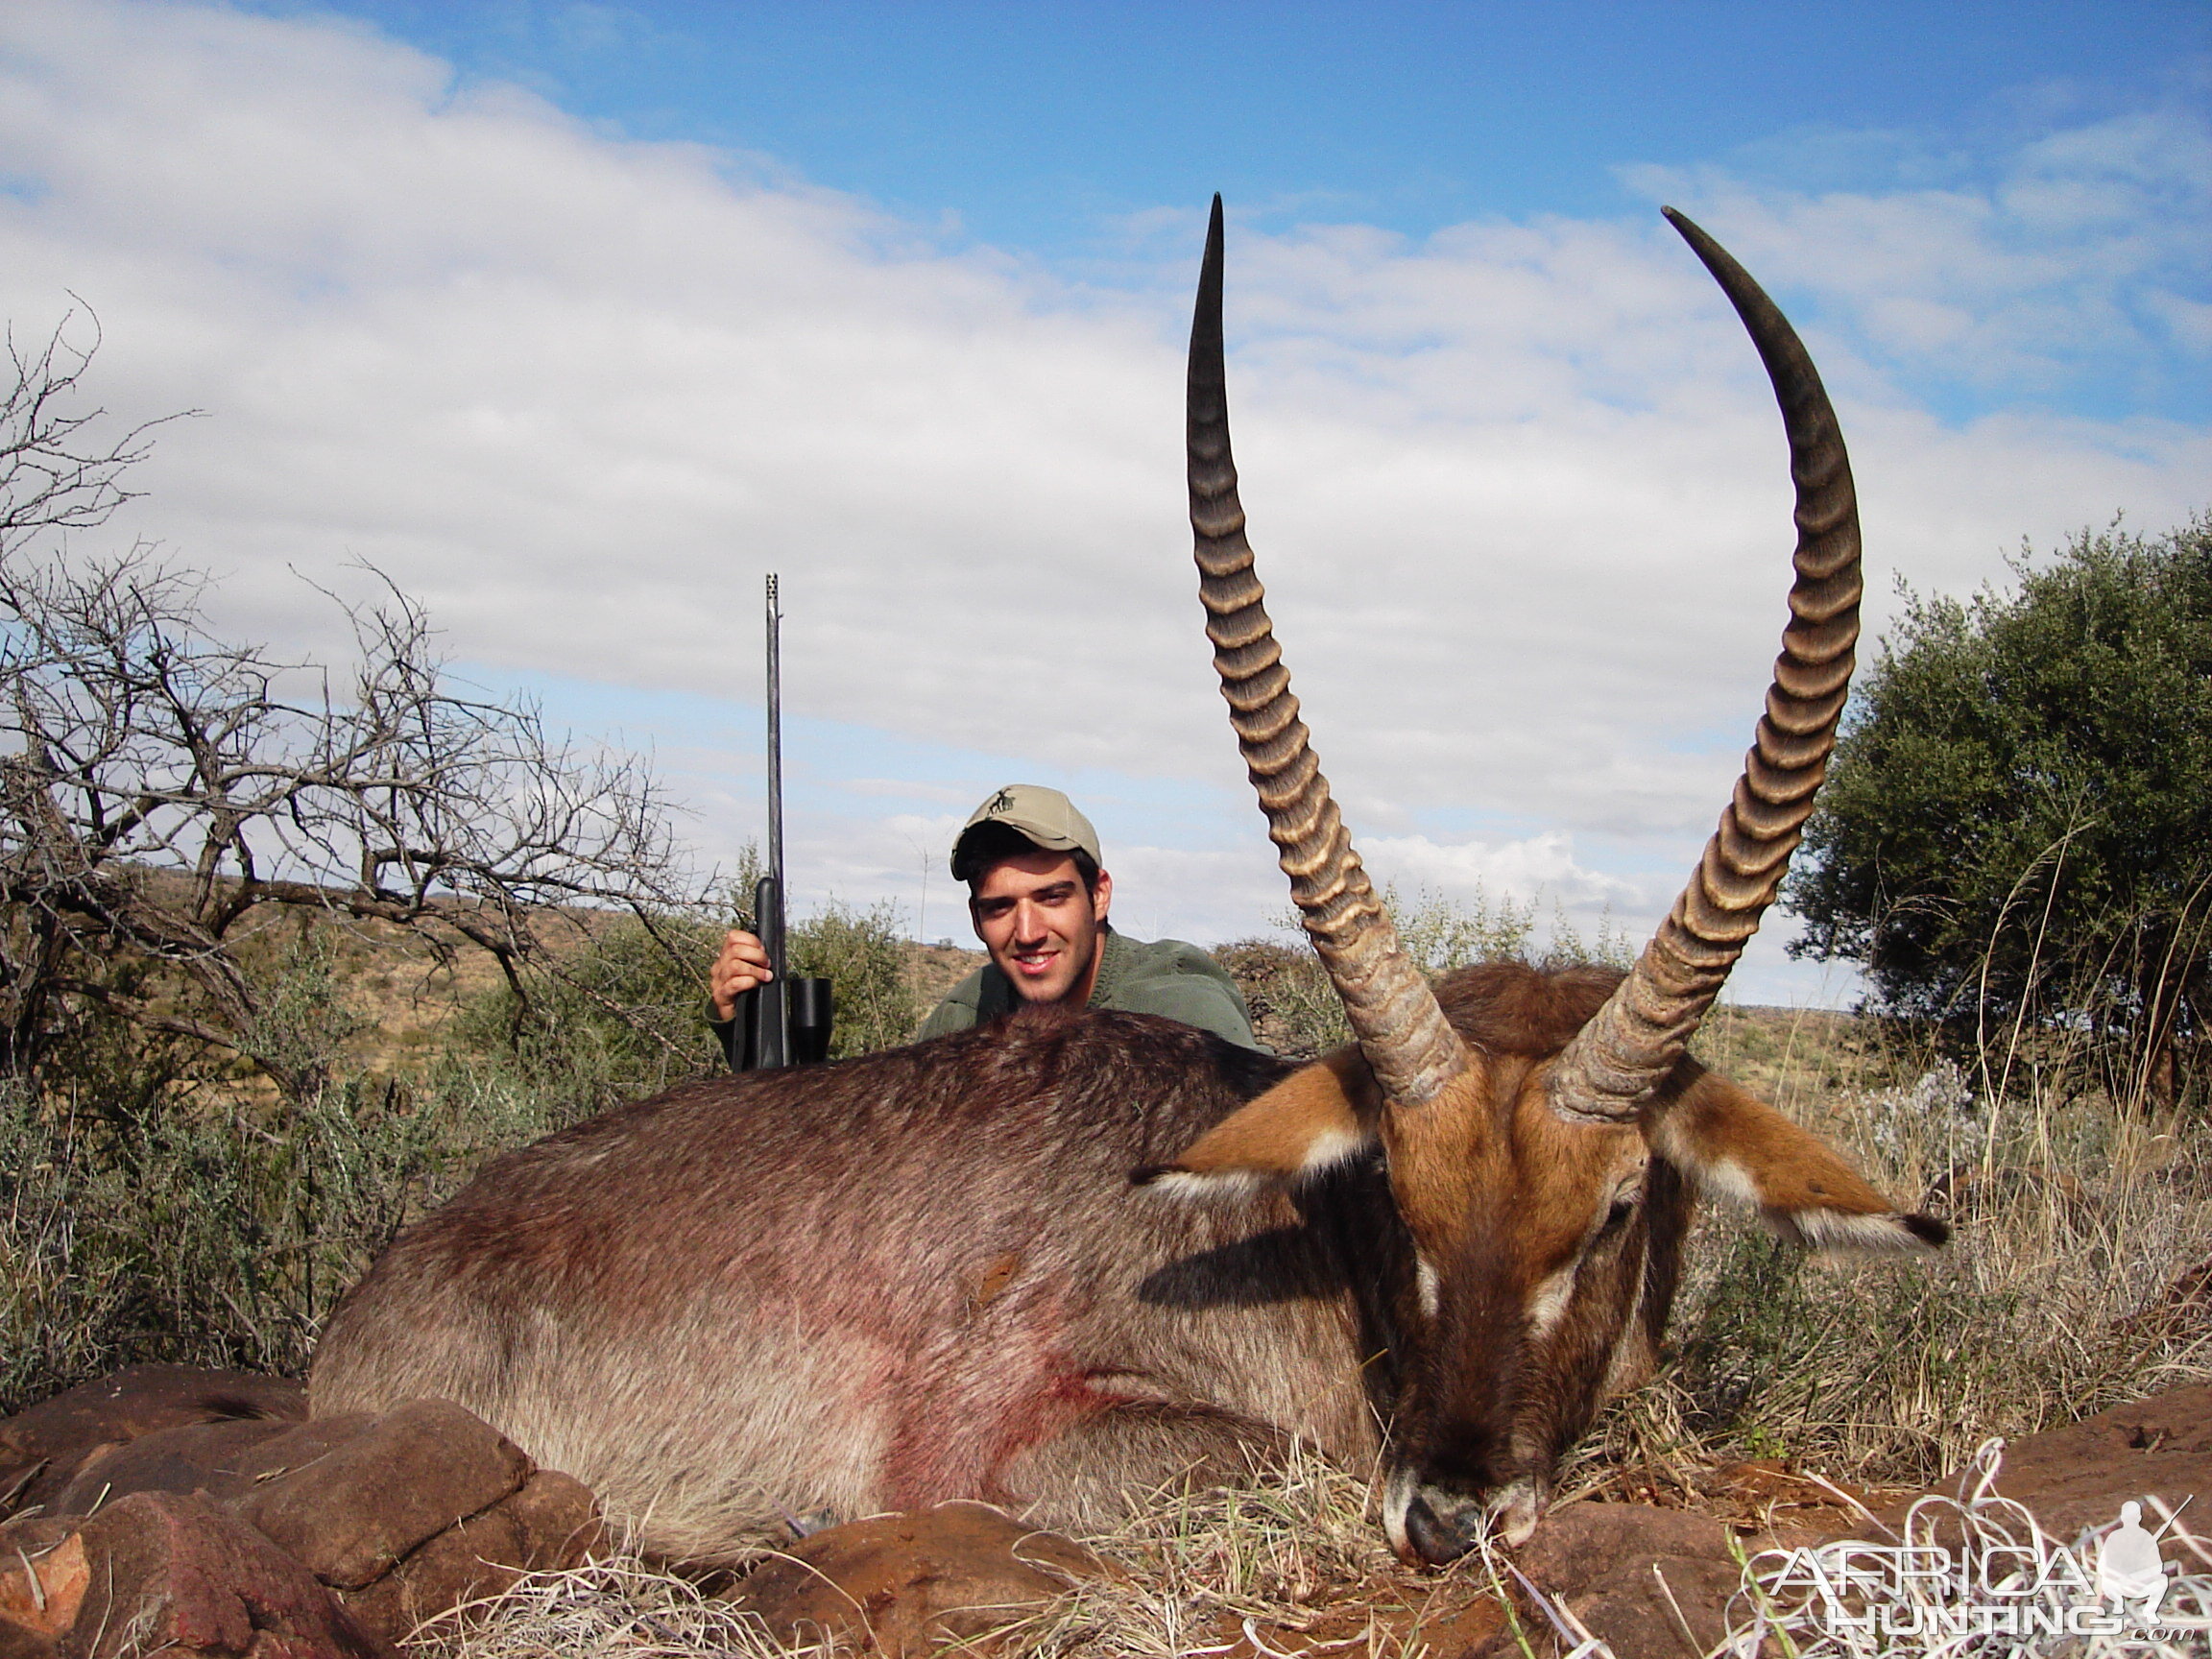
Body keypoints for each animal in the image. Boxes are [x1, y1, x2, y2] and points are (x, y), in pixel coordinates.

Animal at [311, 198, 1937, 1575]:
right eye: (1394, 1196)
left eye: (1615, 1210)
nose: (1452, 1513)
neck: (1310, 1254)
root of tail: (372, 1298)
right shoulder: (1010, 1445)